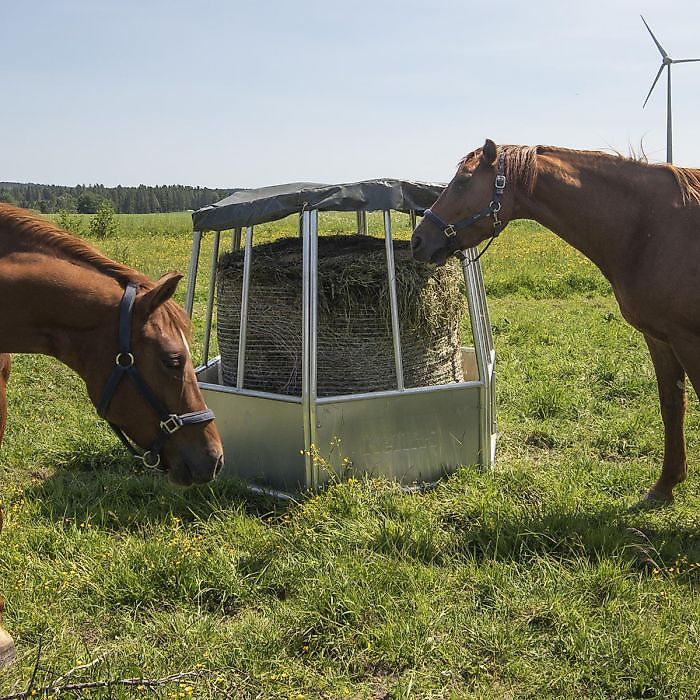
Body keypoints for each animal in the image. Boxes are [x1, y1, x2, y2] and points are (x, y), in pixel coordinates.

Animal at [412, 139, 700, 506]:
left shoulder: (689, 341)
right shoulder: (661, 339)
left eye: (463, 181)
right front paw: (665, 485)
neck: (651, 228)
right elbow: (672, 407)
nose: (418, 240)